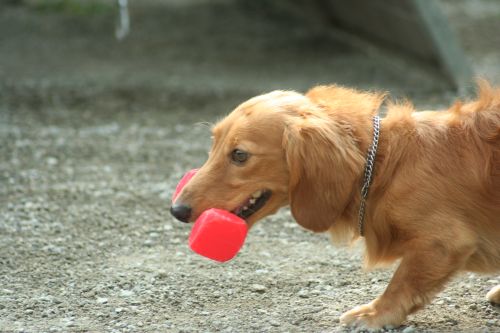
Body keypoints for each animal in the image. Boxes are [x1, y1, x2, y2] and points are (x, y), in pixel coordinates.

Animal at [170, 80, 498, 326]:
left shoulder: (442, 242)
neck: (383, 167)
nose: (177, 210)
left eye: (239, 155)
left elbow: (403, 280)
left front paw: (375, 314)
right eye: (213, 144)